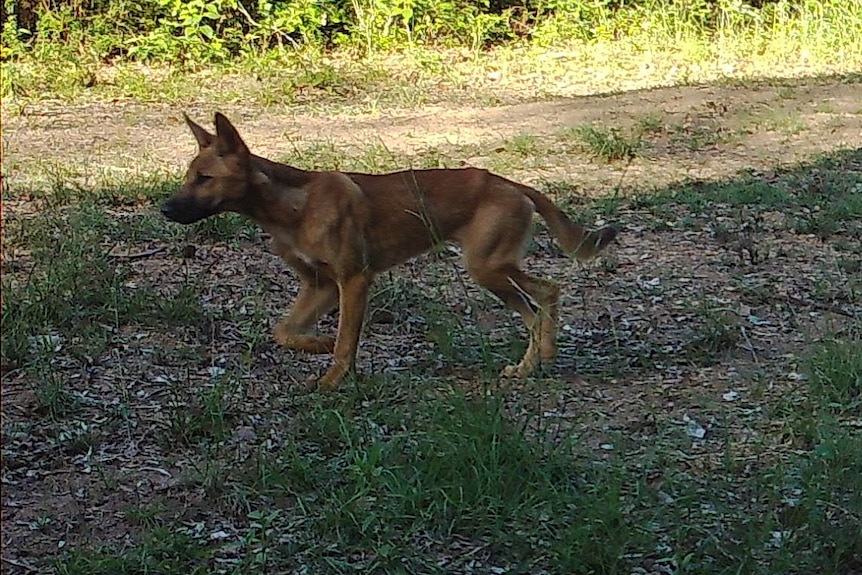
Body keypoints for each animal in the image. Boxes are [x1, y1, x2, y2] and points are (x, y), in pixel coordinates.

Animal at [164, 112, 620, 392]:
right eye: (189, 176)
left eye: (204, 178)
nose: (165, 209)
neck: (293, 205)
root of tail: (511, 183)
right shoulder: (319, 285)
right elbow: (286, 332)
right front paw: (319, 344)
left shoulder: (353, 280)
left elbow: (346, 341)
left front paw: (332, 380)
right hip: (493, 272)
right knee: (535, 309)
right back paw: (530, 365)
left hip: (488, 267)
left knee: (548, 292)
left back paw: (544, 355)